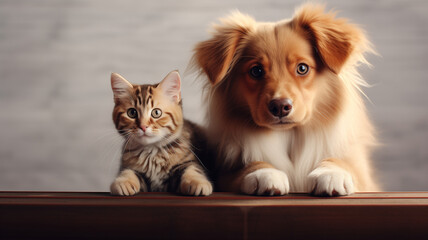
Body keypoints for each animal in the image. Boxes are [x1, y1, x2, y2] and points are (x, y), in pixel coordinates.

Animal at [192, 3, 380, 195]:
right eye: (256, 71)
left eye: (302, 68)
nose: (280, 106)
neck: (290, 137)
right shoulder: (223, 174)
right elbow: (244, 167)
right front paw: (265, 173)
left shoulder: (366, 180)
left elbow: (346, 165)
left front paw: (332, 173)